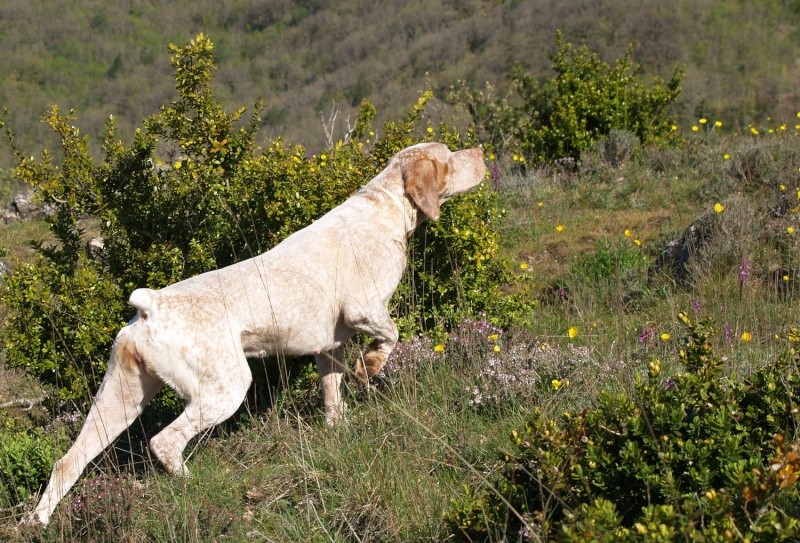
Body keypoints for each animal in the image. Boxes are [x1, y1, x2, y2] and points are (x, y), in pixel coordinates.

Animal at [25, 141, 484, 528]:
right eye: (449, 155)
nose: (481, 152)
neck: (385, 207)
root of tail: (151, 305)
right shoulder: (365, 310)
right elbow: (389, 338)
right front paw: (369, 366)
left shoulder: (330, 348)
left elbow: (333, 399)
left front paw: (339, 428)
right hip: (226, 387)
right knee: (164, 441)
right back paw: (193, 485)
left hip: (120, 399)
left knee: (68, 461)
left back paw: (37, 521)